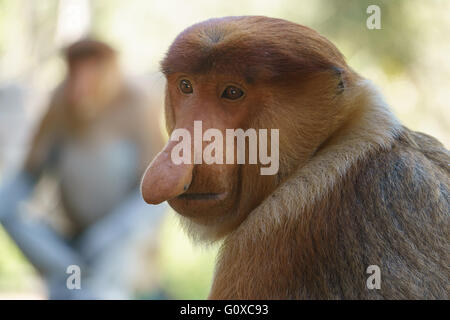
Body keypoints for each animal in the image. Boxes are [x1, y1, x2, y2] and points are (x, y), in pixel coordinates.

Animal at [0, 40, 167, 300]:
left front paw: (100, 241)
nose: (78, 83)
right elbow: (30, 174)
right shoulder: (56, 101)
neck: (101, 104)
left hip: (145, 266)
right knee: (17, 217)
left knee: (133, 233)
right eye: (75, 64)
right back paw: (67, 279)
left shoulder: (141, 106)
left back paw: (100, 286)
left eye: (92, 62)